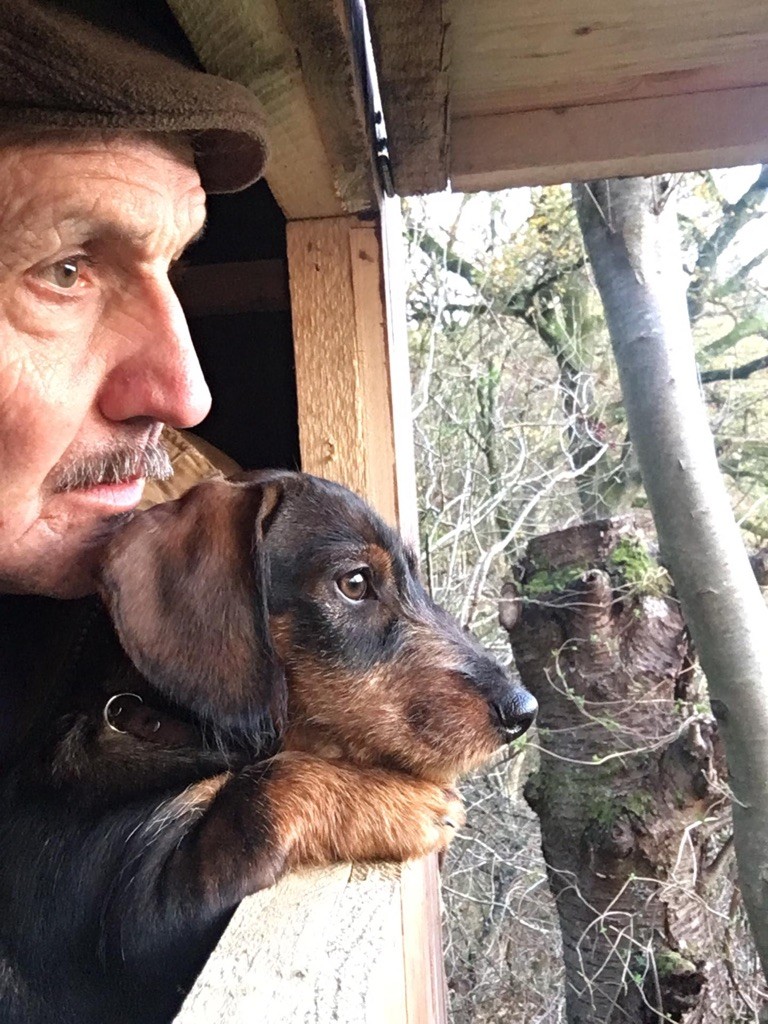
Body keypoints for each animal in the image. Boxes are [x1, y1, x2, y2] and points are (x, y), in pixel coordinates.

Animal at [0, 471, 536, 1024]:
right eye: (355, 583)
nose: (524, 711)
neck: (157, 721)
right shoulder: (135, 932)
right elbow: (266, 790)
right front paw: (400, 801)